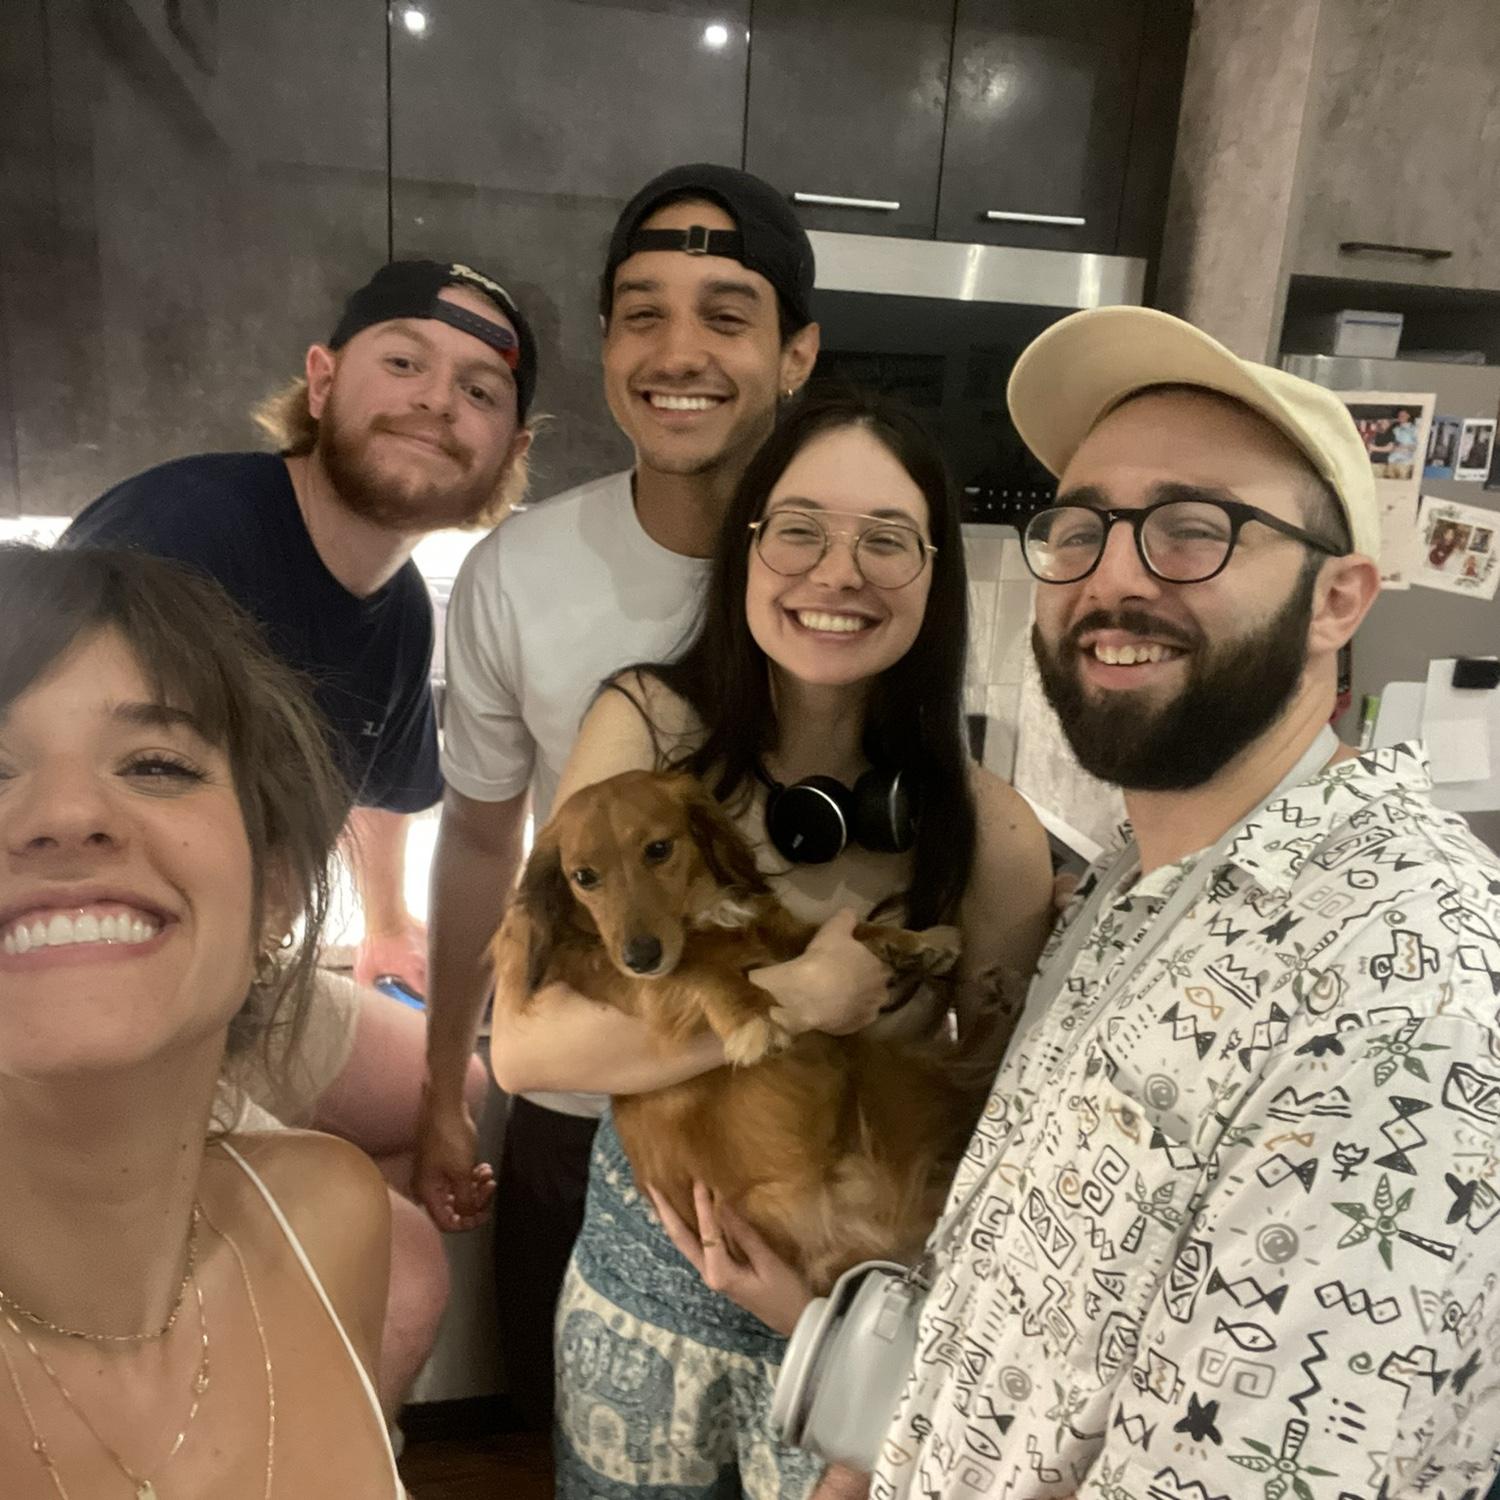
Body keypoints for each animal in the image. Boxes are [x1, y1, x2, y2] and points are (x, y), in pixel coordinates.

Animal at [492, 768, 984, 1292]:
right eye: (584, 877)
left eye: (658, 849)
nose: (640, 956)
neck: (703, 917)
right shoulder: (620, 975)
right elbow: (697, 971)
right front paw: (753, 1015)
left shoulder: (789, 942)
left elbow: (845, 931)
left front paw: (921, 941)